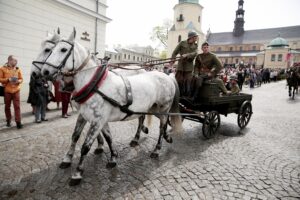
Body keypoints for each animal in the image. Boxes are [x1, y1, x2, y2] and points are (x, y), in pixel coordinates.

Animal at [40, 29, 182, 186]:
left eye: (63, 49)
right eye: (51, 50)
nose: (44, 72)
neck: (95, 85)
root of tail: (167, 77)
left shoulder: (97, 121)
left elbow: (85, 146)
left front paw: (77, 173)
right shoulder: (93, 118)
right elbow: (99, 137)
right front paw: (113, 157)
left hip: (163, 108)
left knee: (162, 126)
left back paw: (157, 149)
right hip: (153, 108)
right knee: (154, 121)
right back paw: (162, 137)